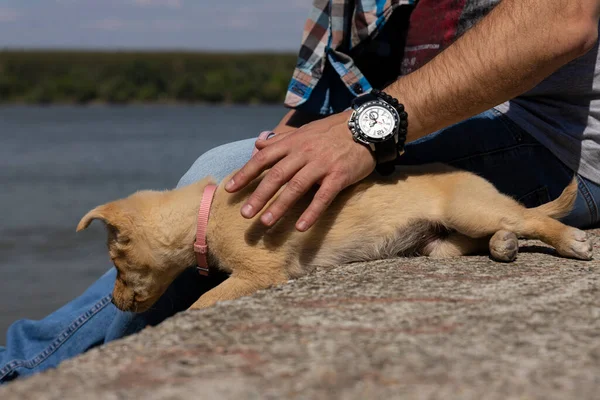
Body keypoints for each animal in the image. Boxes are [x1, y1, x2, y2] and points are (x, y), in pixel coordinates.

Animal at [77, 165, 592, 312]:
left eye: (119, 269)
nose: (117, 302)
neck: (203, 215)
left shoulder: (261, 272)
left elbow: (202, 302)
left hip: (467, 209)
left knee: (531, 218)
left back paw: (570, 241)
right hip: (438, 243)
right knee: (493, 232)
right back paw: (503, 246)